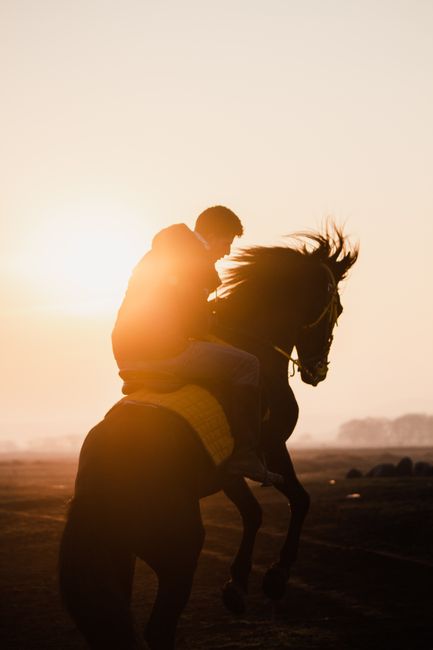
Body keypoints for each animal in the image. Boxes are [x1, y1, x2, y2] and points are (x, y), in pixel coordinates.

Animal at [59, 224, 358, 649]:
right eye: (338, 309)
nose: (318, 371)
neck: (252, 342)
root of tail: (98, 489)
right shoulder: (269, 447)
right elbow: (298, 501)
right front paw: (274, 576)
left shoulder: (227, 469)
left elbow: (253, 512)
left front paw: (237, 586)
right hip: (180, 553)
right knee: (158, 629)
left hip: (121, 561)